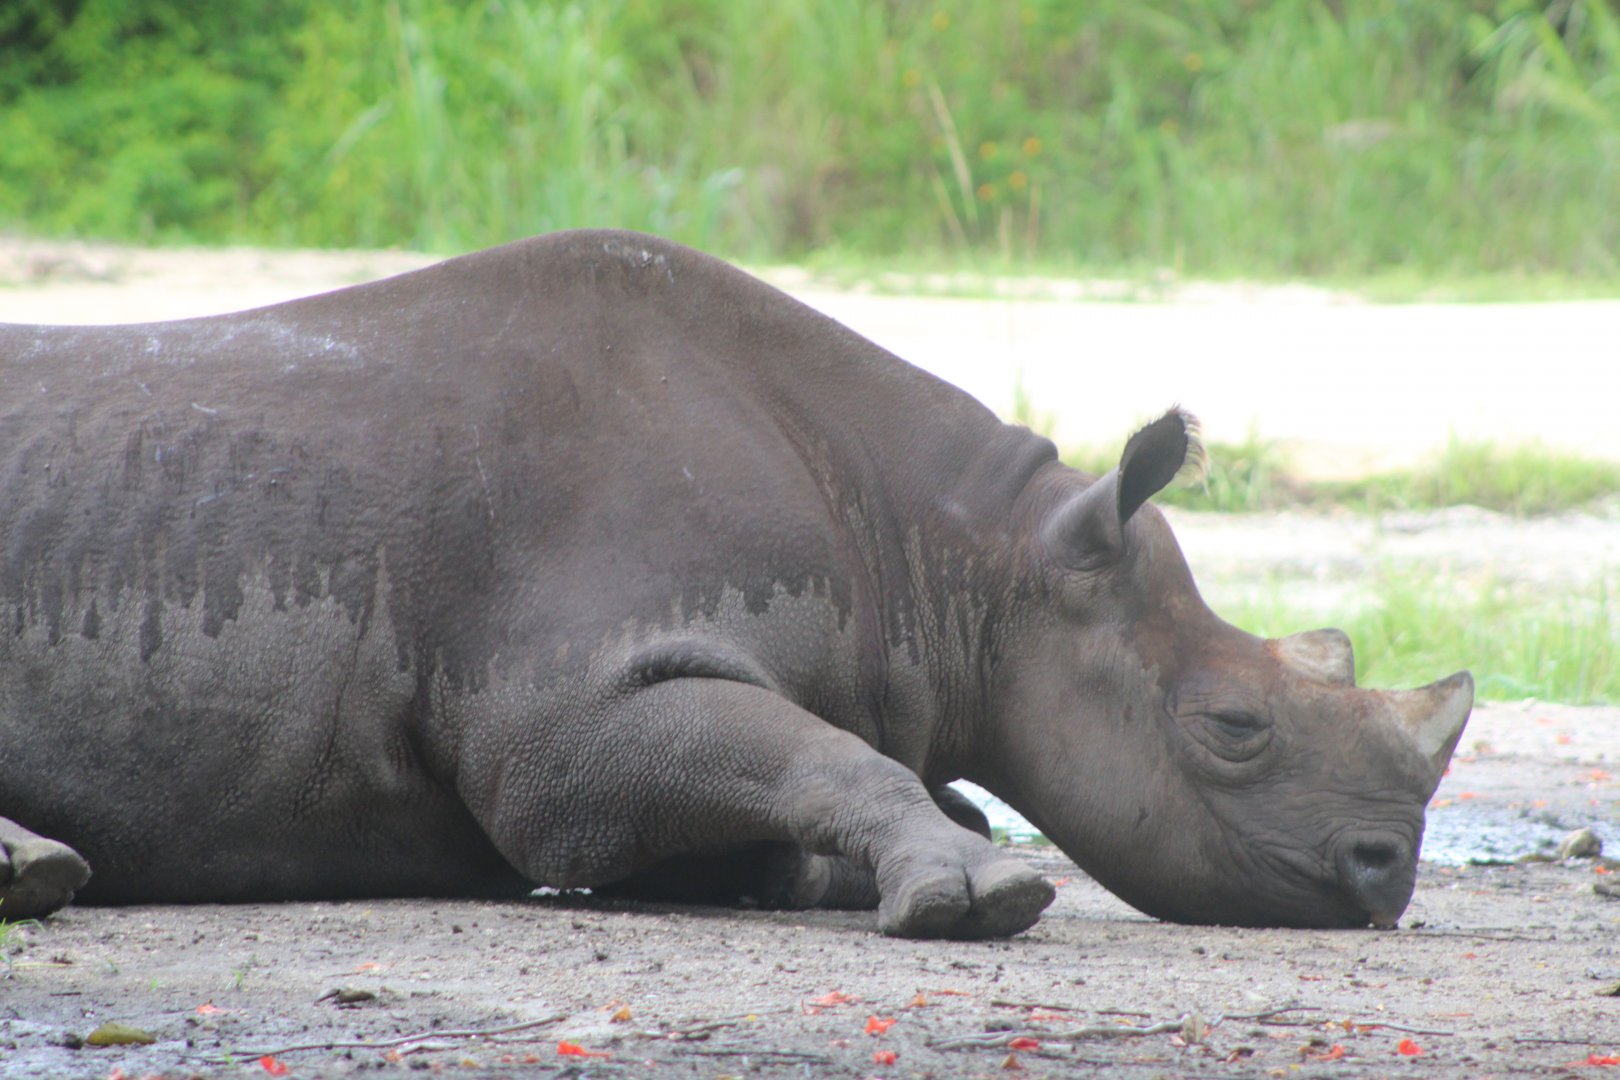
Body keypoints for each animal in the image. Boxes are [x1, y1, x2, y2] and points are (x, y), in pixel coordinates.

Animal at [0, 231, 1471, 939]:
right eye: (1234, 728)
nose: (1387, 872)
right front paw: (977, 892)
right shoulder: (560, 722)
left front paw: (809, 874)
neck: (960, 560)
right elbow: (821, 759)